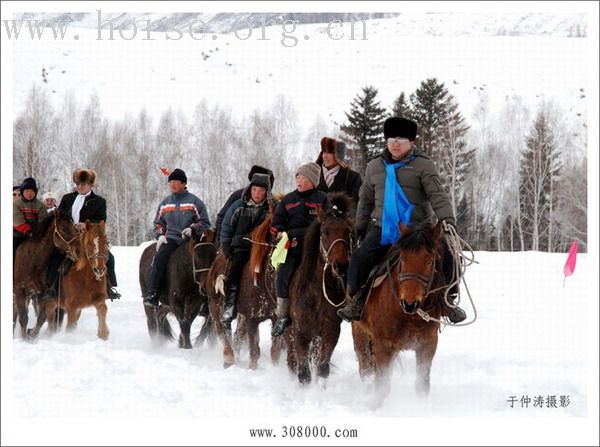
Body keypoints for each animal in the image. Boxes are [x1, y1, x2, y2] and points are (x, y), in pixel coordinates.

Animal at [13, 210, 78, 340]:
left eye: (74, 227)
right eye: (63, 229)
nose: (77, 250)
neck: (32, 261)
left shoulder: (42, 294)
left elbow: (41, 318)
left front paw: (31, 335)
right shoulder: (19, 291)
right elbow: (23, 318)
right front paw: (24, 338)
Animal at [206, 205, 282, 370]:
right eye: (273, 228)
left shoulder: (274, 317)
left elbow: (275, 351)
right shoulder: (251, 317)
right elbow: (254, 350)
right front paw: (252, 368)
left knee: (237, 335)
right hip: (216, 306)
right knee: (223, 331)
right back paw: (229, 358)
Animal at [284, 192, 354, 384]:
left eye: (348, 232)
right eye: (325, 231)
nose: (341, 266)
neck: (316, 294)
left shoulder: (330, 332)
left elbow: (322, 368)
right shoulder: (300, 332)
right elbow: (303, 372)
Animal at [352, 224, 446, 400]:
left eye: (430, 261)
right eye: (402, 259)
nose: (409, 303)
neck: (409, 317)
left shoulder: (428, 344)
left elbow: (422, 385)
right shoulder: (383, 345)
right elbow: (382, 387)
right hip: (361, 334)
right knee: (365, 369)